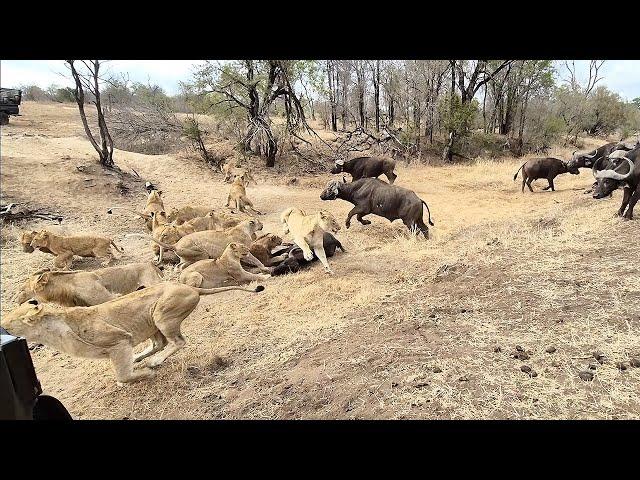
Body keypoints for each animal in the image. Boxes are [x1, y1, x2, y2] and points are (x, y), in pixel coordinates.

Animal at [1, 284, 264, 384]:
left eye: (6, 323)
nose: (1, 328)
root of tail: (190, 286)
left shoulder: (119, 340)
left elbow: (123, 376)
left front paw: (146, 373)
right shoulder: (121, 345)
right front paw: (139, 367)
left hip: (162, 315)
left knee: (178, 342)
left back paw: (153, 362)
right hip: (152, 323)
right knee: (160, 343)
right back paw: (141, 357)